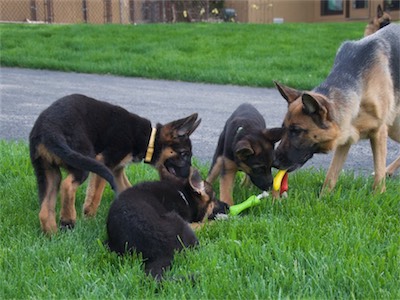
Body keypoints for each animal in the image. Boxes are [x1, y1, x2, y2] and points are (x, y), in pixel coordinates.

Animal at [29, 94, 202, 234]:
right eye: (184, 154)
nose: (190, 176)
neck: (149, 140)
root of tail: (49, 128)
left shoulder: (117, 170)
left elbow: (125, 188)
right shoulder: (105, 162)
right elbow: (95, 195)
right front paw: (89, 218)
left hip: (48, 171)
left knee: (45, 210)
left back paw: (52, 234)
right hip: (82, 158)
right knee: (67, 185)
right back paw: (68, 219)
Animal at [274, 25, 400, 195]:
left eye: (297, 131)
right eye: (284, 129)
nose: (274, 162)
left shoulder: (379, 132)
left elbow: (378, 175)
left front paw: (377, 196)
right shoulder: (346, 136)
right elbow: (331, 175)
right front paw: (323, 197)